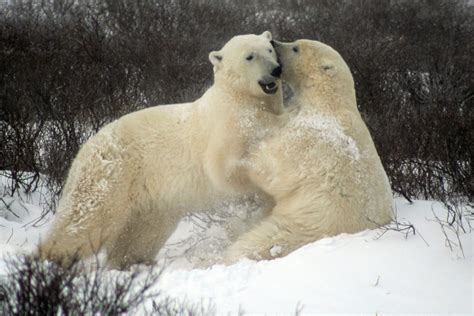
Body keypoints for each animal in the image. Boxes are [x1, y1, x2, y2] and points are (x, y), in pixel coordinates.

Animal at [39, 31, 284, 270]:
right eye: (250, 56)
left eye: (269, 49)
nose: (276, 69)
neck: (238, 97)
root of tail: (85, 147)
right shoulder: (226, 127)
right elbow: (224, 169)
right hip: (111, 176)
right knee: (86, 220)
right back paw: (50, 260)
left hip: (152, 202)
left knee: (143, 234)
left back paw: (132, 262)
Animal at [225, 39, 392, 262]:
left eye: (296, 47)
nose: (274, 42)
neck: (329, 102)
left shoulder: (311, 137)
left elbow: (274, 167)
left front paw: (246, 155)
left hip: (303, 225)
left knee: (257, 242)